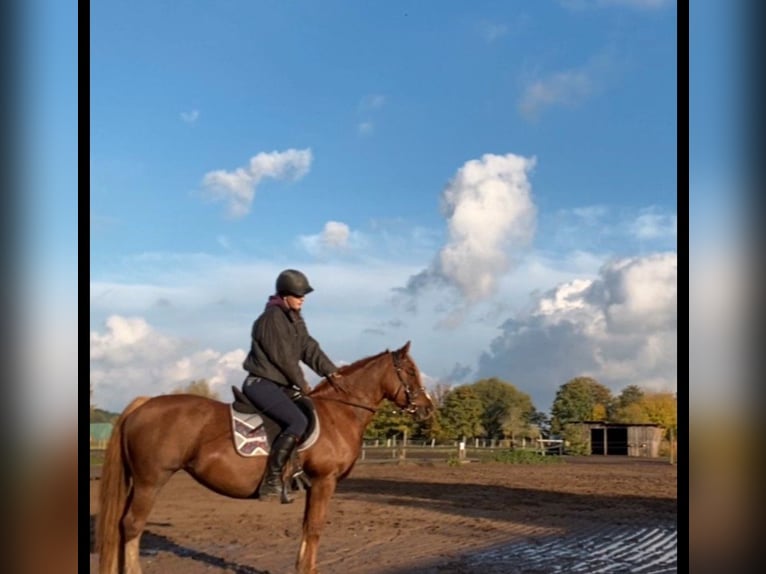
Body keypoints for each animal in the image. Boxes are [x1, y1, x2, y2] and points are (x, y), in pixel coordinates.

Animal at [97, 342, 436, 574]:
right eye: (409, 371)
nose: (427, 408)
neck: (338, 413)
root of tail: (144, 405)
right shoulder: (325, 482)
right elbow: (315, 528)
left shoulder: (313, 486)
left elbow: (306, 527)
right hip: (150, 481)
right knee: (131, 526)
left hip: (138, 482)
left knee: (121, 525)